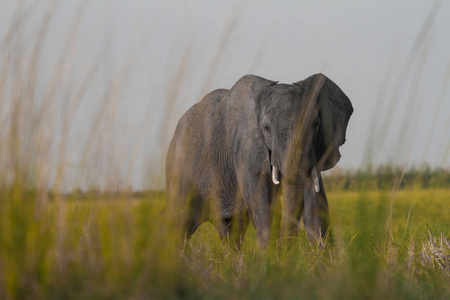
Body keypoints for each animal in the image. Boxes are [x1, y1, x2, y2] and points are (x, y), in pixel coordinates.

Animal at [163, 72, 354, 248]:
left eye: (315, 125)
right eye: (266, 129)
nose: (285, 248)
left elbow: (317, 206)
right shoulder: (246, 149)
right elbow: (262, 206)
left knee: (231, 230)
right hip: (178, 172)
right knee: (179, 224)